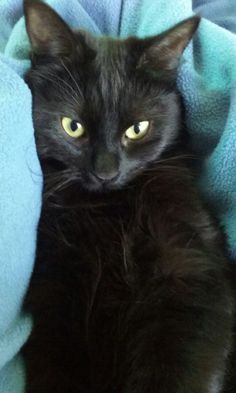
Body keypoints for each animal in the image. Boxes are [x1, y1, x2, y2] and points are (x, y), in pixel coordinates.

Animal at [22, 0, 234, 392]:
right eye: (72, 127)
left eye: (137, 129)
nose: (106, 172)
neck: (110, 209)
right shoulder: (54, 282)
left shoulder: (191, 269)